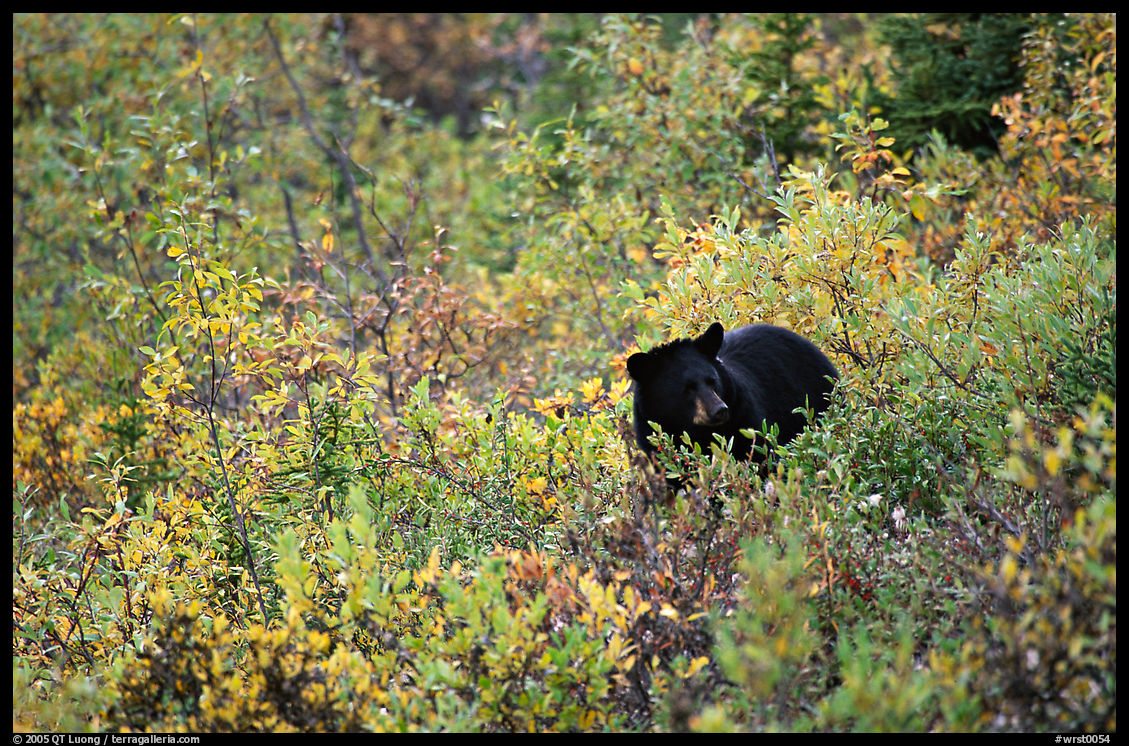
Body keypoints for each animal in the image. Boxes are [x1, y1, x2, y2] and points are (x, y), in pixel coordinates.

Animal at [626, 322, 838, 466]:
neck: (698, 433)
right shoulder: (654, 441)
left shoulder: (745, 419)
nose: (719, 410)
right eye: (688, 388)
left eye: (712, 381)